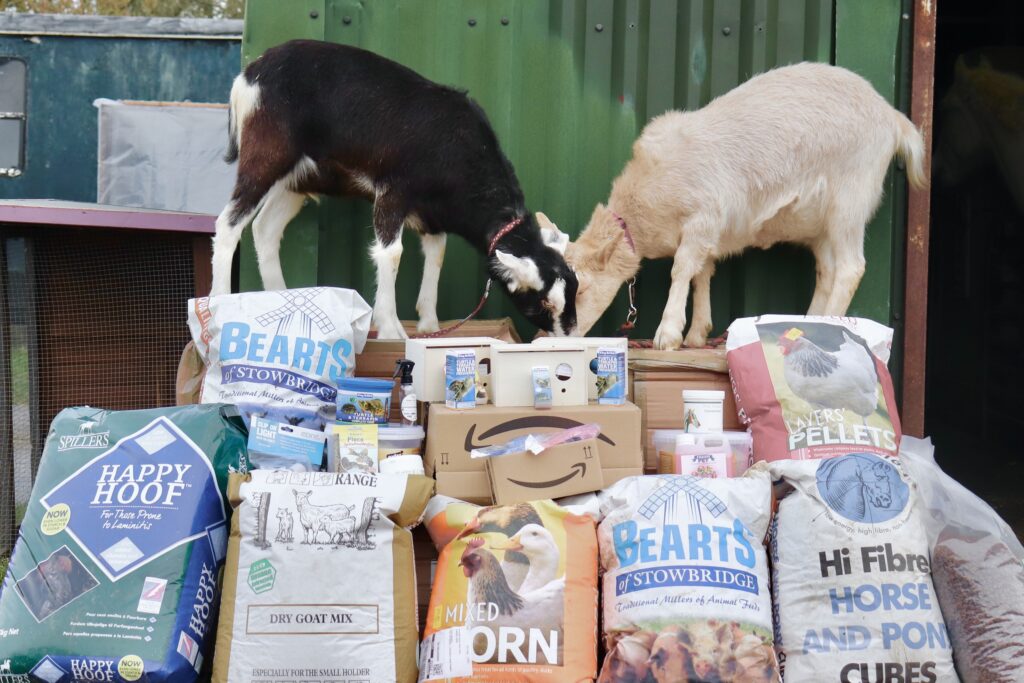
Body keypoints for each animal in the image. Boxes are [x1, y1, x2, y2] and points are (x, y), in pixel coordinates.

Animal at [212, 40, 578, 338]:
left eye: (574, 289)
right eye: (543, 303)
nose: (570, 336)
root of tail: (249, 75)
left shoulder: (433, 216)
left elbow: (436, 255)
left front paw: (430, 326)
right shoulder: (393, 192)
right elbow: (391, 253)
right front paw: (391, 329)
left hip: (297, 180)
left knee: (265, 228)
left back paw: (281, 297)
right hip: (265, 156)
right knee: (229, 224)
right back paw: (218, 302)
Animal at [542, 62, 926, 350]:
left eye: (581, 290)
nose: (546, 339)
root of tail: (892, 117)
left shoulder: (703, 217)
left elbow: (682, 269)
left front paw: (668, 333)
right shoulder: (707, 231)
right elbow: (702, 274)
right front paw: (697, 333)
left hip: (850, 199)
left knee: (850, 268)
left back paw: (826, 322)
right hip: (820, 223)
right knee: (828, 270)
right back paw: (807, 320)